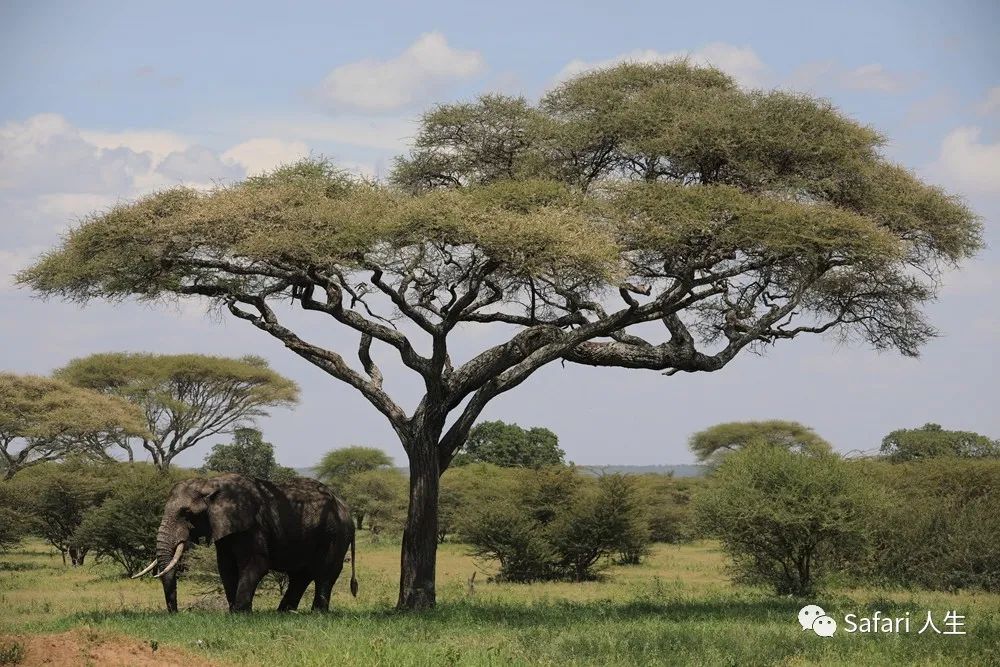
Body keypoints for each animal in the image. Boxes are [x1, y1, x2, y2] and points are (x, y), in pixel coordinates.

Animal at [133, 472, 358, 612]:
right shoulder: (225, 528)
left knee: (324, 572)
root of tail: (345, 507)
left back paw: (316, 613)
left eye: (187, 514)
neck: (210, 484)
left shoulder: (252, 526)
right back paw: (284, 613)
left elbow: (255, 564)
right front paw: (233, 610)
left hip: (335, 535)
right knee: (301, 576)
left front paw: (240, 613)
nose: (176, 613)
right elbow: (226, 567)